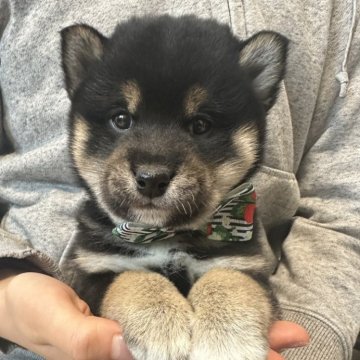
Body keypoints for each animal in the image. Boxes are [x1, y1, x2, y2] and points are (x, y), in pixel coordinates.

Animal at [60, 14, 288, 360]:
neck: (164, 235)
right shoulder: (93, 270)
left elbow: (228, 279)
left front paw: (228, 340)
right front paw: (160, 327)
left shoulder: (245, 263)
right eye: (121, 119)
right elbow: (133, 276)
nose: (151, 178)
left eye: (201, 125)